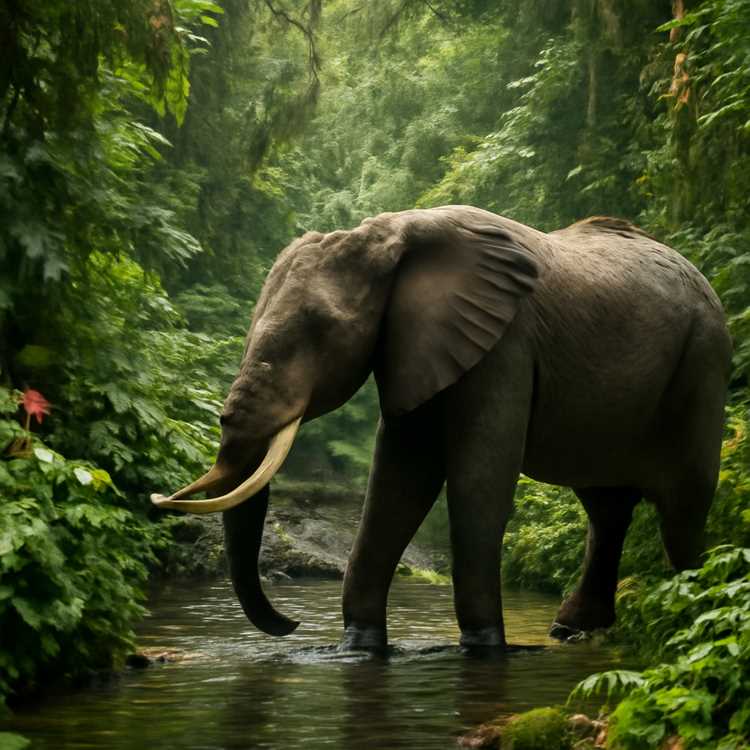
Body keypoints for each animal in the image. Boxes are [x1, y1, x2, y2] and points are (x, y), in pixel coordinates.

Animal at [151, 205, 732, 650]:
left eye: (319, 328)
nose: (291, 625)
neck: (391, 233)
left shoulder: (505, 343)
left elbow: (476, 479)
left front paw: (484, 648)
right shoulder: (413, 345)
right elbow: (399, 478)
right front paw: (357, 649)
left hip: (702, 361)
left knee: (682, 504)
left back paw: (691, 612)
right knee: (606, 506)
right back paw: (570, 631)